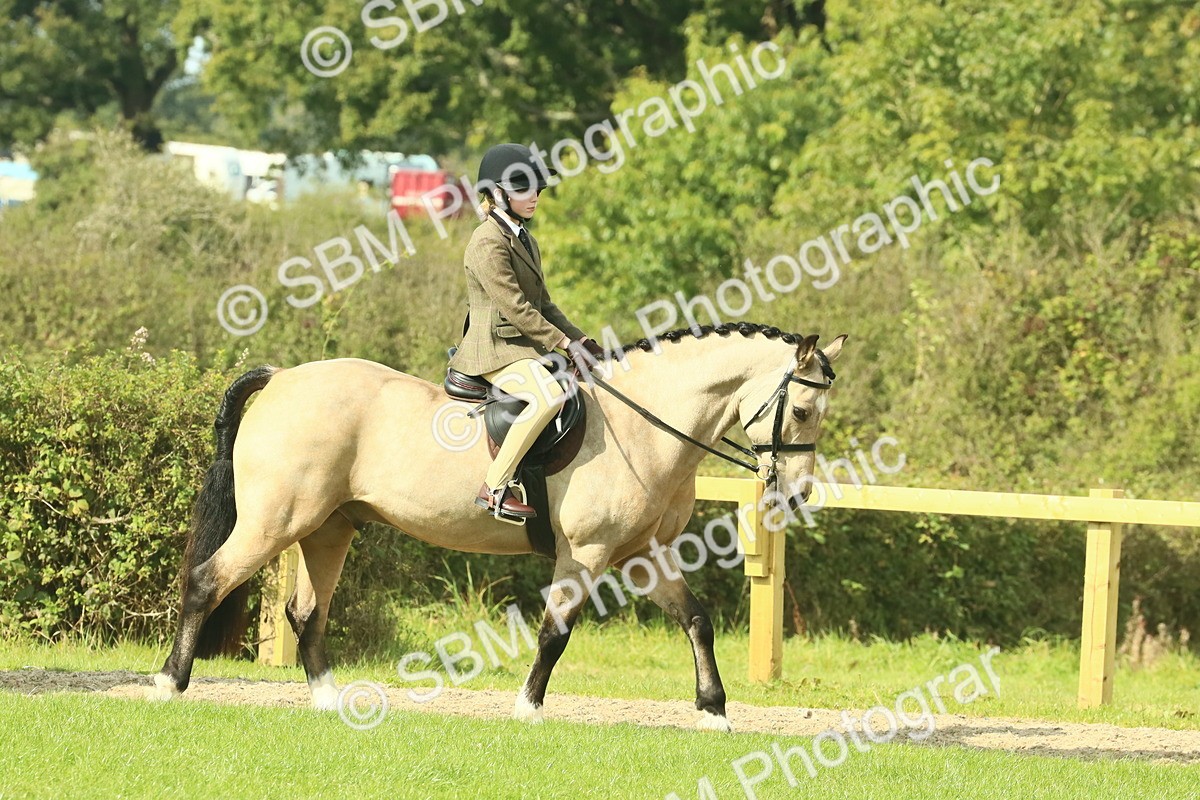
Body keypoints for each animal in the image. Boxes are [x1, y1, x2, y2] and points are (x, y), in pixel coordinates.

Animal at [147, 322, 847, 731]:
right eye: (802, 411)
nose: (797, 493)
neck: (645, 424)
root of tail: (282, 378)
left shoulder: (644, 555)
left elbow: (696, 620)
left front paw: (715, 712)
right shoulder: (585, 553)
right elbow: (555, 633)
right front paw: (527, 708)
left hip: (328, 528)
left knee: (305, 612)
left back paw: (326, 701)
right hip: (277, 521)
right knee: (206, 581)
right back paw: (167, 684)